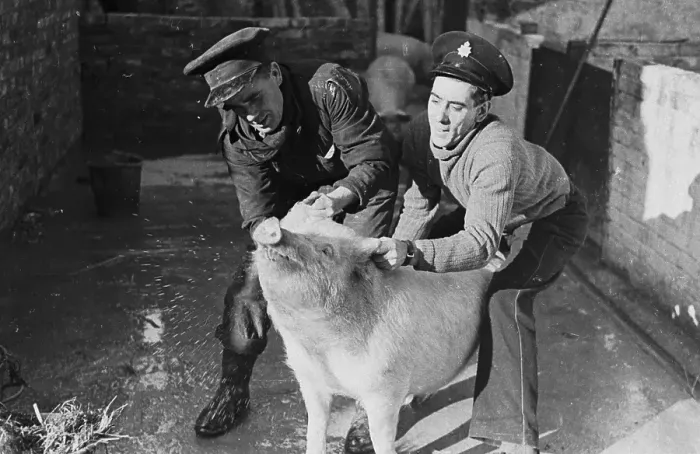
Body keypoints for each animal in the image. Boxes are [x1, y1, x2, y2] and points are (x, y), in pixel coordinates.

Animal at [252, 203, 497, 454]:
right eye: (292, 226)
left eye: (326, 250)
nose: (275, 229)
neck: (319, 344)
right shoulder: (308, 377)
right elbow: (315, 427)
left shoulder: (385, 387)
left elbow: (380, 436)